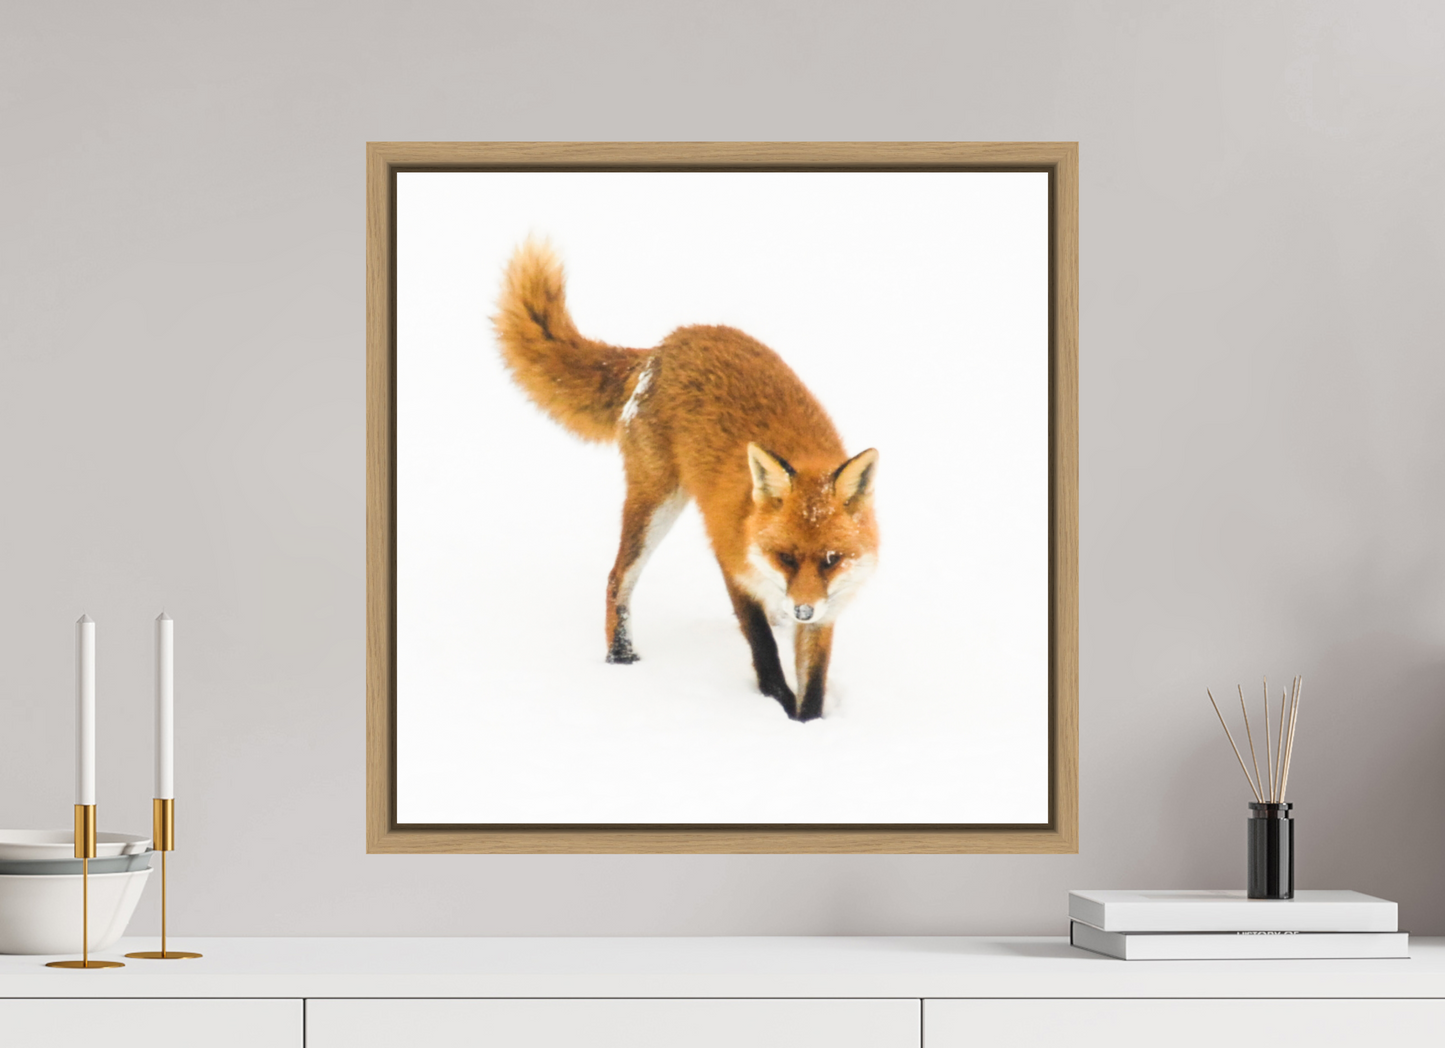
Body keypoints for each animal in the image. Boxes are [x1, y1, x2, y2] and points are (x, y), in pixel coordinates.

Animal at [492, 240, 878, 722]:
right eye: (785, 557)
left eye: (831, 559)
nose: (803, 609)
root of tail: (664, 346)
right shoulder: (730, 562)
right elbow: (764, 650)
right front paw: (776, 705)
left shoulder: (828, 607)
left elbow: (815, 682)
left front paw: (806, 723)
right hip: (654, 505)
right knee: (617, 578)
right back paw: (620, 657)